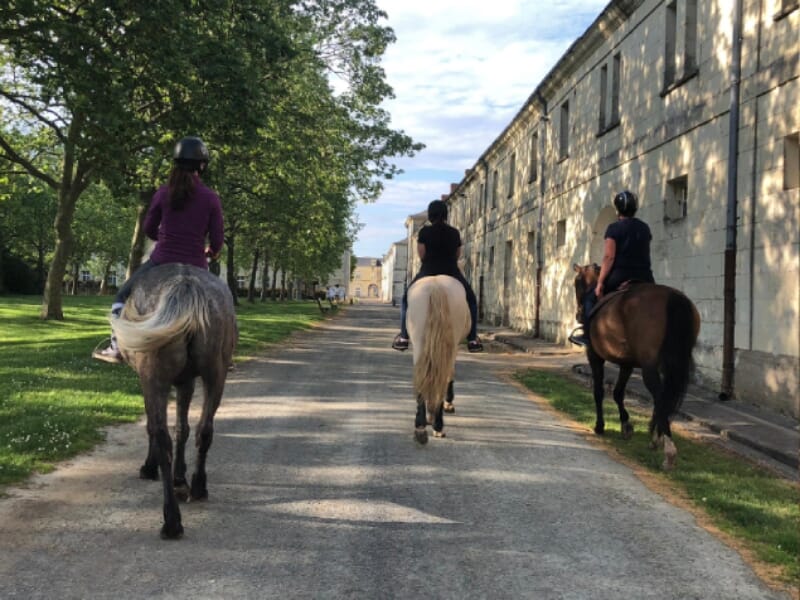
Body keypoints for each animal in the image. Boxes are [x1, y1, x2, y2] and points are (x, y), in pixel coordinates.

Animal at [406, 274, 468, 442]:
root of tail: (436, 286)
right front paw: (446, 406)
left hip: (420, 344)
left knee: (424, 377)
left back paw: (422, 427)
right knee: (441, 378)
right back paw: (436, 425)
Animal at [572, 264, 696, 472]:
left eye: (576, 283)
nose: (579, 315)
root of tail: (672, 297)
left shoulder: (594, 356)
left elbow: (599, 391)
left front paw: (600, 426)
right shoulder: (627, 364)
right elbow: (617, 392)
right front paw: (626, 425)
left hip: (648, 367)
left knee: (659, 396)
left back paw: (668, 449)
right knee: (663, 397)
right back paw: (656, 439)